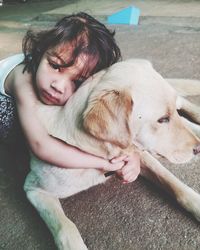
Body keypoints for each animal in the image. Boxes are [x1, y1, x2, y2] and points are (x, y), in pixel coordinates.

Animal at [23, 59, 200, 250]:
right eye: (162, 119)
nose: (197, 148)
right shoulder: (34, 189)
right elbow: (65, 227)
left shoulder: (139, 154)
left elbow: (173, 182)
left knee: (184, 108)